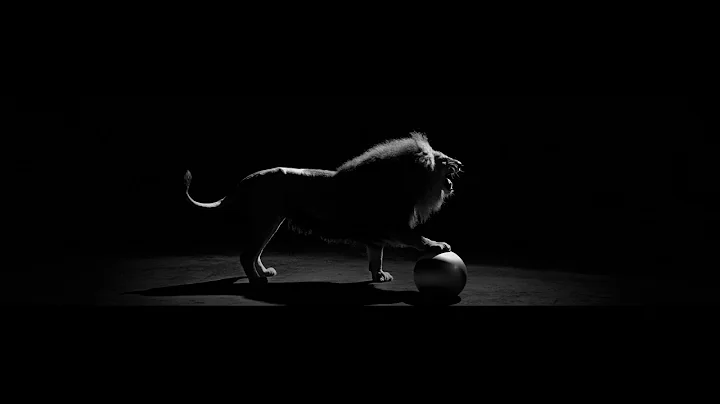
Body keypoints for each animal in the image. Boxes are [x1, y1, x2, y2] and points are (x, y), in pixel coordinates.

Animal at [184, 131, 463, 284]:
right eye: (444, 160)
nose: (460, 164)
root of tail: (246, 180)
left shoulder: (376, 233)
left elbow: (377, 257)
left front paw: (379, 275)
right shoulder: (394, 226)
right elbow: (418, 238)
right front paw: (439, 245)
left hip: (271, 222)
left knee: (255, 253)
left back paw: (264, 271)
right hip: (265, 221)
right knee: (246, 254)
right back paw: (256, 279)